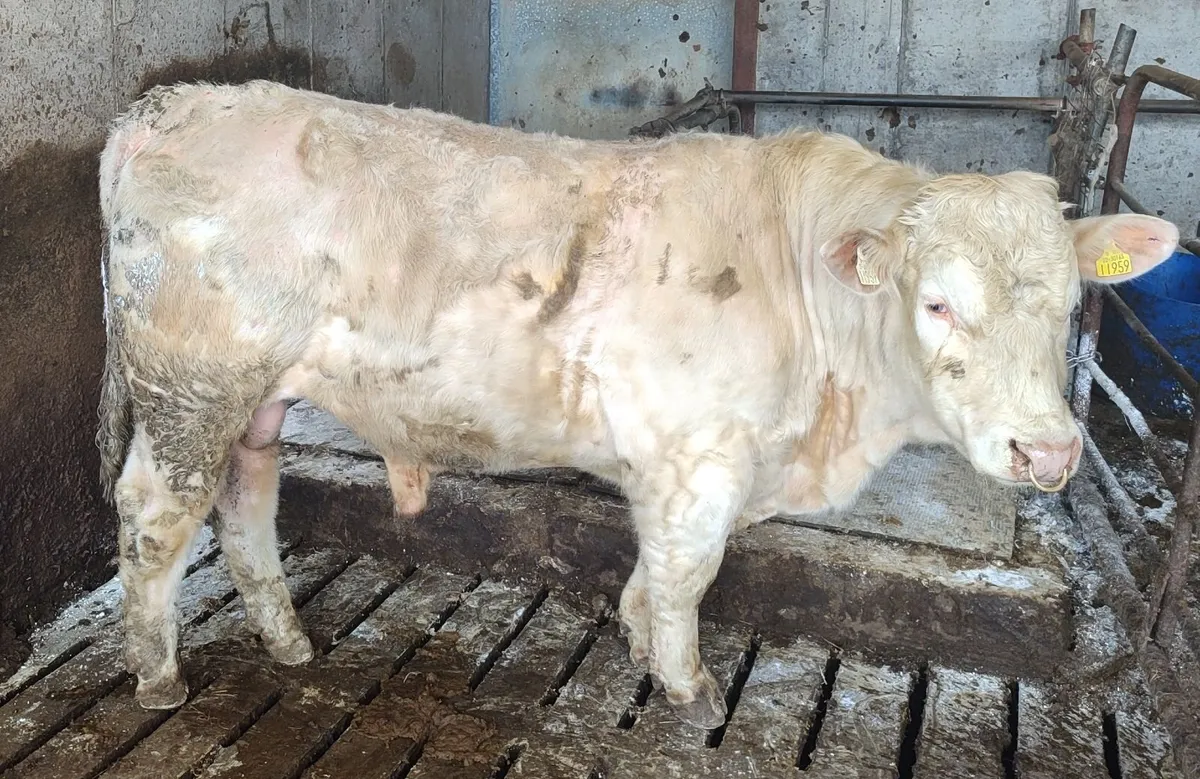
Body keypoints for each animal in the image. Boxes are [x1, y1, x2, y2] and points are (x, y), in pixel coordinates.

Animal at [96, 79, 1178, 729]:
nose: (1047, 452)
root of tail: (168, 106)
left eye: (1071, 303)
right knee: (155, 515)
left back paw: (287, 639)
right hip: (191, 386)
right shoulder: (697, 456)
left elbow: (657, 569)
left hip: (253, 402)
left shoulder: (690, 467)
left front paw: (639, 636)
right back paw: (156, 672)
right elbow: (690, 570)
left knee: (244, 503)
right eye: (938, 301)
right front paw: (690, 685)